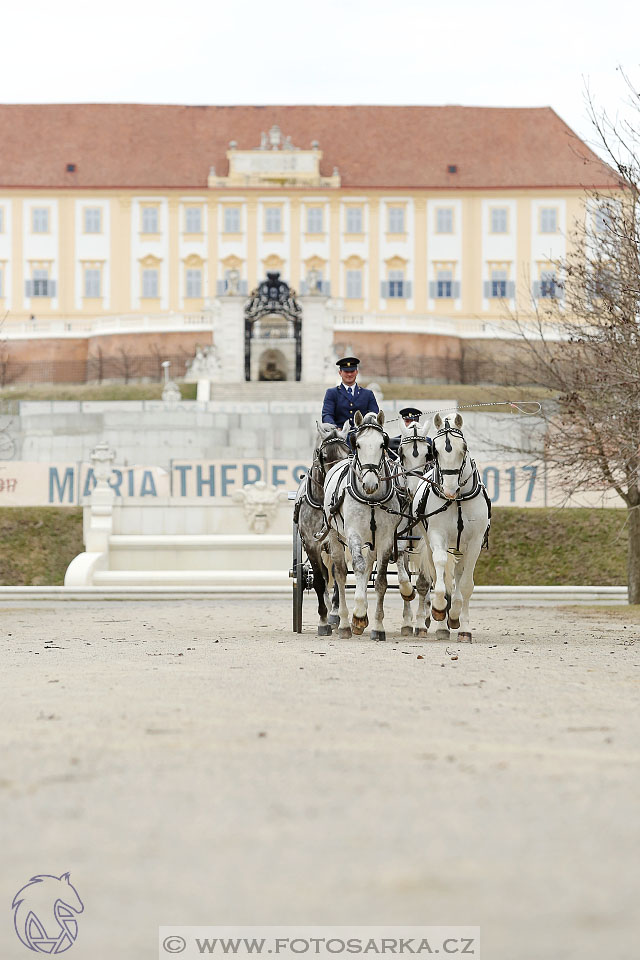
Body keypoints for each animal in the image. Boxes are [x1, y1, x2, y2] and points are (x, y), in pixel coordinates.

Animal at [324, 410, 416, 640]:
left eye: (383, 444)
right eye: (357, 444)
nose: (370, 484)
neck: (371, 499)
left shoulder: (386, 538)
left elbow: (381, 580)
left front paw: (377, 626)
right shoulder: (354, 535)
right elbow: (357, 567)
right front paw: (357, 614)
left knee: (367, 569)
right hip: (335, 536)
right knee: (340, 574)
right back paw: (344, 622)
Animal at [410, 414, 490, 644]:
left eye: (463, 447)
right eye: (435, 450)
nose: (449, 490)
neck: (458, 501)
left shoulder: (474, 543)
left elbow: (465, 585)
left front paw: (462, 625)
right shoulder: (437, 536)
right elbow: (439, 571)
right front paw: (438, 608)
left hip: (460, 547)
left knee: (457, 576)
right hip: (429, 542)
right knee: (432, 576)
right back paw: (431, 624)